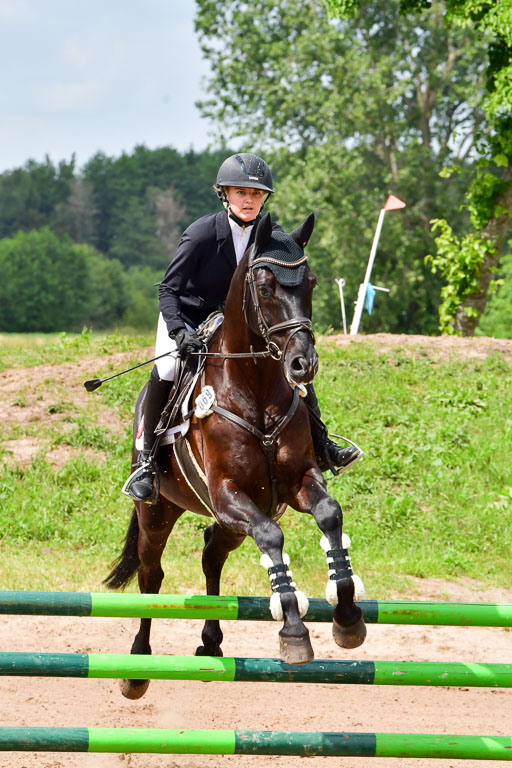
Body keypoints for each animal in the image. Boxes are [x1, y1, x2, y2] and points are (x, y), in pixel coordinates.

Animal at [105, 211, 366, 700]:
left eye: (311, 283)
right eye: (264, 287)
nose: (303, 365)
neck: (256, 388)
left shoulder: (296, 482)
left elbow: (329, 514)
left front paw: (347, 619)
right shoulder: (229, 495)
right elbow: (271, 537)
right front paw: (294, 633)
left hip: (228, 523)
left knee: (212, 553)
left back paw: (210, 643)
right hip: (159, 513)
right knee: (151, 575)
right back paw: (137, 667)